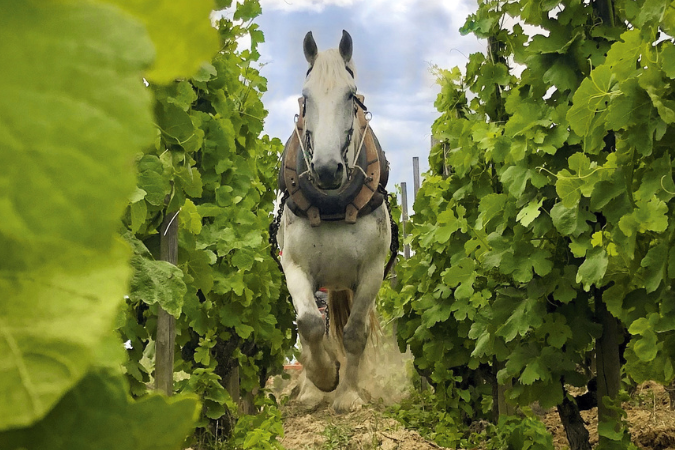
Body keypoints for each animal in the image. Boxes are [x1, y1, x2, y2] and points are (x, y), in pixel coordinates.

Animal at [271, 30, 395, 412]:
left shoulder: (372, 271)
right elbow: (310, 325)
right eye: (306, 97)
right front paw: (324, 378)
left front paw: (349, 395)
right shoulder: (295, 267)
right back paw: (311, 390)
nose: (327, 169)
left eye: (350, 95)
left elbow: (354, 333)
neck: (332, 206)